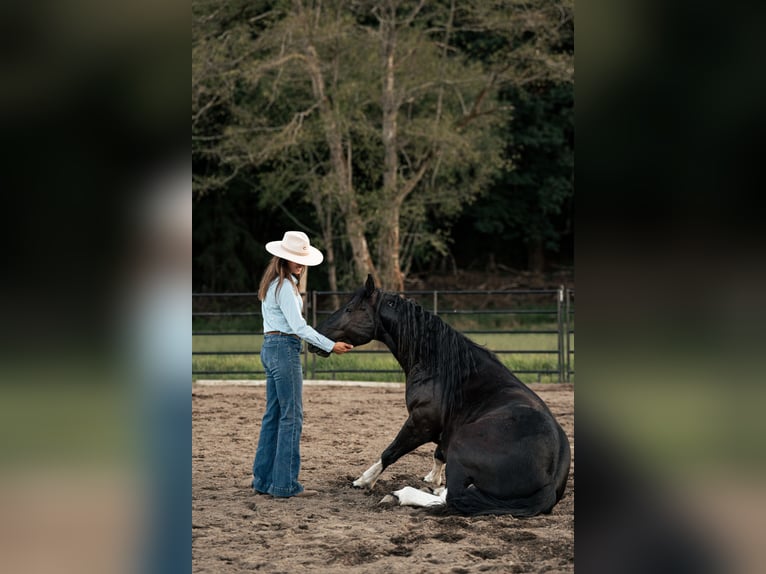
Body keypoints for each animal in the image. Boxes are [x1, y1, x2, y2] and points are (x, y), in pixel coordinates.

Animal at [308, 274, 572, 516]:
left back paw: (399, 495)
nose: (316, 337)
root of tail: (550, 483)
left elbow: (390, 452)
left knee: (454, 499)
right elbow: (437, 454)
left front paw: (364, 480)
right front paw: (432, 481)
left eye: (349, 309)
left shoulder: (421, 422)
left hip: (460, 446)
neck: (439, 366)